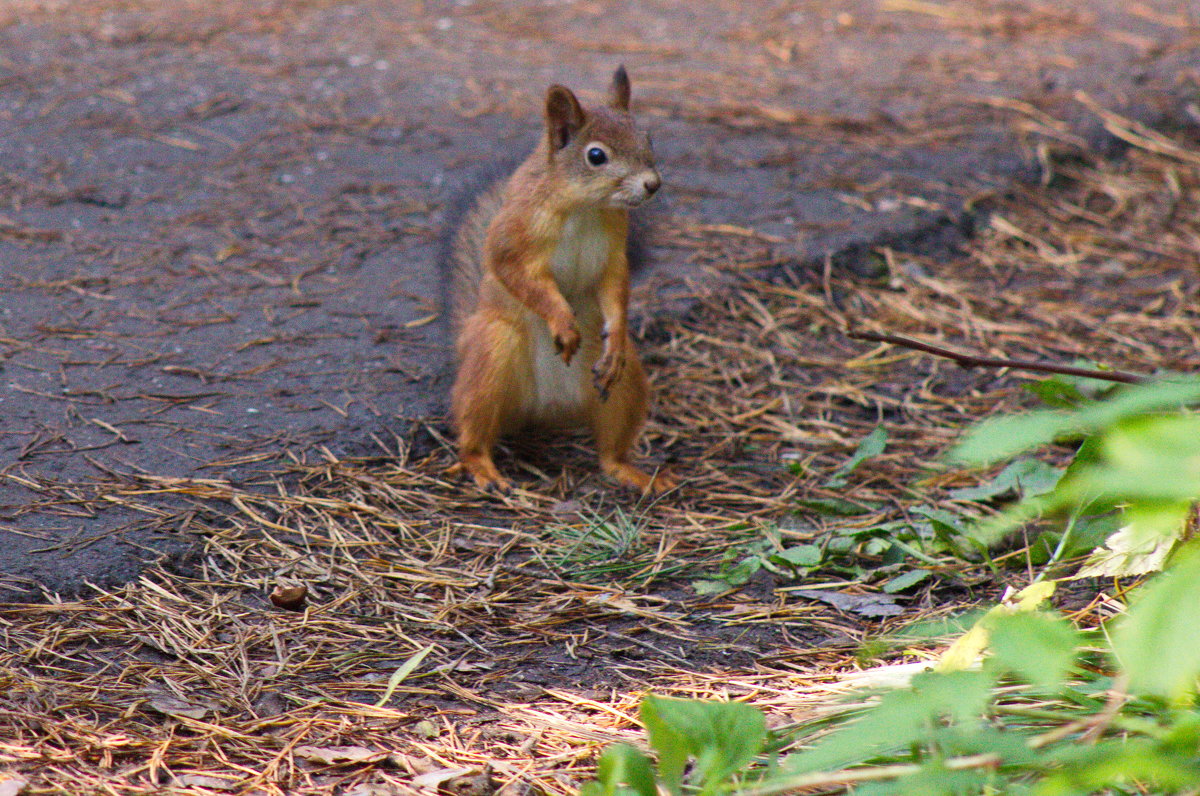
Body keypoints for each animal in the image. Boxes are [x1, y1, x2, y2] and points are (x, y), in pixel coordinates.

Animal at [444, 68, 672, 494]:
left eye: (647, 138)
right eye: (596, 156)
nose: (652, 184)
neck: (585, 207)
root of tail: (548, 410)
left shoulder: (613, 254)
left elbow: (615, 289)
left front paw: (616, 332)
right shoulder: (514, 238)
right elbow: (520, 277)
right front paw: (562, 321)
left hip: (625, 386)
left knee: (610, 449)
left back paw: (632, 472)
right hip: (489, 360)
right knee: (473, 428)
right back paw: (481, 466)